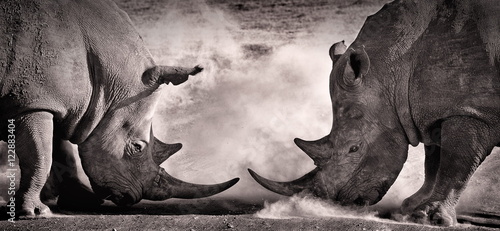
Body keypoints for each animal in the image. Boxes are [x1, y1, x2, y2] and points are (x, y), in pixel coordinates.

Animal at [0, 0, 238, 217]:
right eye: (138, 147)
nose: (132, 198)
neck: (106, 83)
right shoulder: (33, 103)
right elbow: (40, 156)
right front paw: (36, 213)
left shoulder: (55, 104)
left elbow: (60, 153)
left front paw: (85, 201)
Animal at [249, 0, 500, 226]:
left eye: (354, 148)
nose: (338, 203)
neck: (395, 66)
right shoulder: (437, 111)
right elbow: (434, 162)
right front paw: (410, 207)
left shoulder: (471, 112)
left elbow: (454, 166)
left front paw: (428, 217)